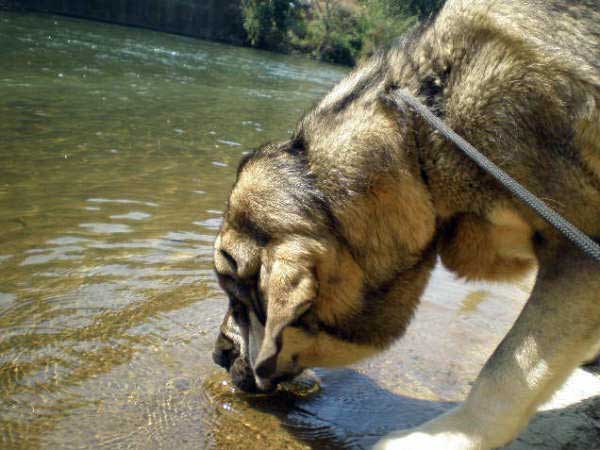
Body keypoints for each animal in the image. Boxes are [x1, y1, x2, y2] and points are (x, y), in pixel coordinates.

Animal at [212, 1, 600, 448]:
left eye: (240, 300)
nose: (217, 354)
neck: (420, 143)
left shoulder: (579, 253)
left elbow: (505, 369)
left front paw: (440, 437)